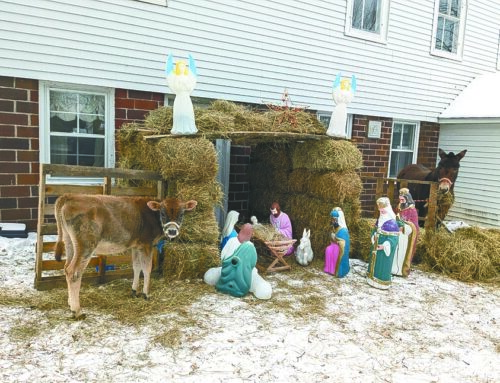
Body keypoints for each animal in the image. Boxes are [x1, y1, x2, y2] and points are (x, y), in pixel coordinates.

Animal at [53, 194, 196, 320]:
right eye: (163, 213)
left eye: (181, 214)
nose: (172, 231)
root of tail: (69, 196)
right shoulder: (147, 244)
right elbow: (147, 269)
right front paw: (146, 294)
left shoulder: (136, 246)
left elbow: (137, 267)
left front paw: (134, 291)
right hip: (86, 244)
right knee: (73, 272)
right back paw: (77, 311)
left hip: (69, 242)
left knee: (66, 268)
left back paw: (70, 304)